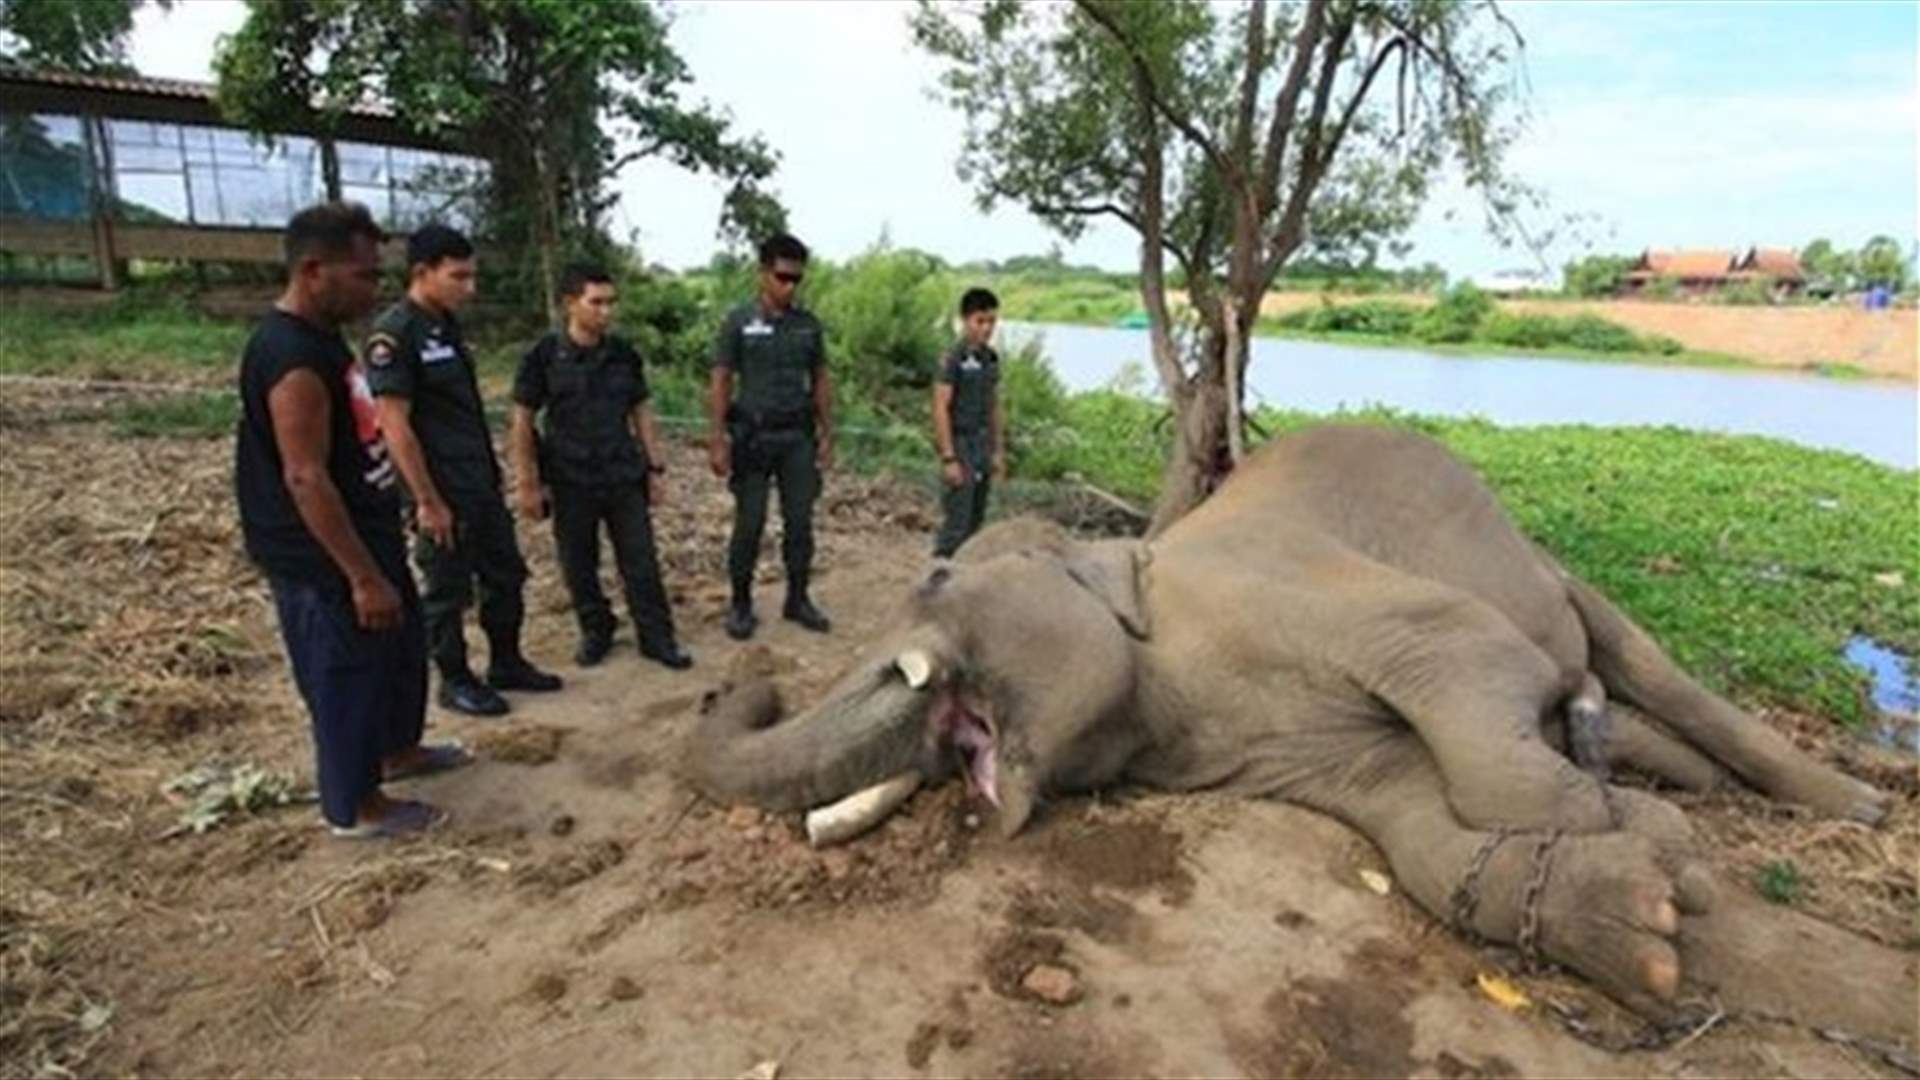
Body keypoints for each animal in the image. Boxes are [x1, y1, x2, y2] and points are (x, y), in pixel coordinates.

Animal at [683, 423, 1909, 1039]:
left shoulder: (1290, 592)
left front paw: (1622, 820)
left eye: (937, 577)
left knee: (1617, 654)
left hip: (1537, 563)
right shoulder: (1248, 736)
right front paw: (1650, 897)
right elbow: (1413, 825)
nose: (742, 675)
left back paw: (1851, 801)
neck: (1139, 569)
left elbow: (1469, 660)